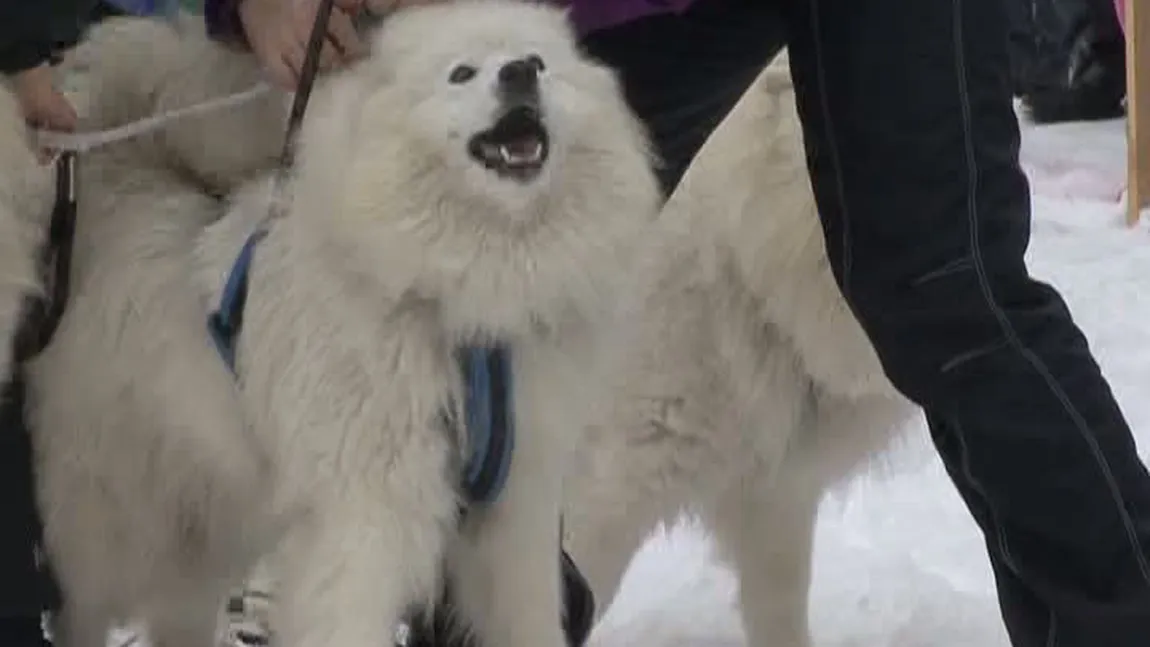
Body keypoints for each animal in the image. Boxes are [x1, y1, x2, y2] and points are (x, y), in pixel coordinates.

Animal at [27, 6, 657, 647]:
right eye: (461, 73)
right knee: (82, 610)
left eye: (539, 61)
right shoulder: (367, 518)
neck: (463, 312)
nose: (519, 74)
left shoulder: (515, 515)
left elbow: (529, 618)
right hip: (109, 521)